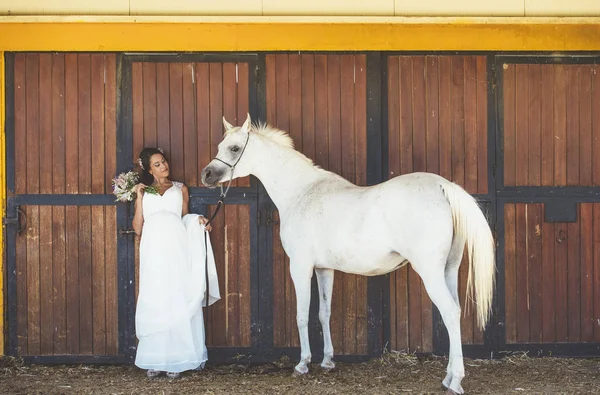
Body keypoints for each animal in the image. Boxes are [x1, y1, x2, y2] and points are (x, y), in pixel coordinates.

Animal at [202, 113, 492, 394]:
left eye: (234, 148)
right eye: (219, 146)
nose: (206, 175)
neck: (301, 193)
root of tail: (443, 187)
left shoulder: (300, 267)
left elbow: (301, 314)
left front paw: (303, 364)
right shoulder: (324, 269)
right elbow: (324, 313)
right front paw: (328, 361)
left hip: (430, 271)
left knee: (450, 312)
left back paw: (455, 382)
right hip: (449, 270)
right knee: (456, 311)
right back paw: (448, 377)